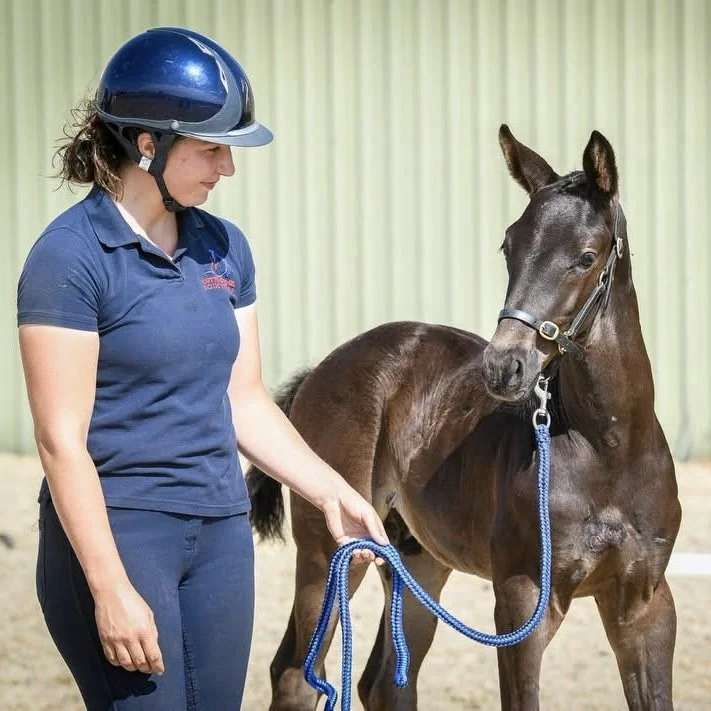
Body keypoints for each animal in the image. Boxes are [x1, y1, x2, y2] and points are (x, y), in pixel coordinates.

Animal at [246, 126, 681, 710]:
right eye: (509, 246)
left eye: (586, 257)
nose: (503, 366)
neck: (610, 447)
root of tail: (320, 369)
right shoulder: (522, 601)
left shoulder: (645, 604)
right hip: (331, 550)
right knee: (296, 673)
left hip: (417, 559)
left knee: (383, 678)